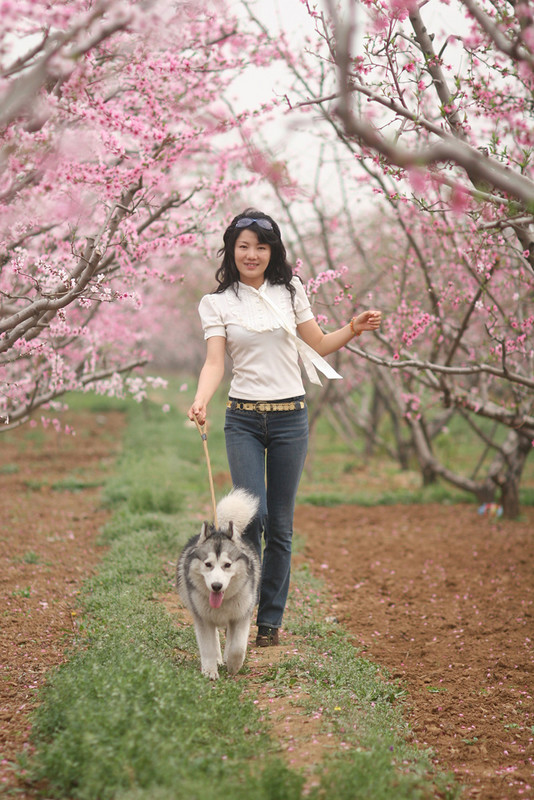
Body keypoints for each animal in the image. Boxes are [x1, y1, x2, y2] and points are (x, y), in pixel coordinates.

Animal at [178, 488, 262, 680]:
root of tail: (218, 529)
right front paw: (210, 670)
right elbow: (207, 646)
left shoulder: (241, 615)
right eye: (208, 564)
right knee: (215, 636)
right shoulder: (202, 618)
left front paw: (233, 664)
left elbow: (237, 647)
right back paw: (217, 658)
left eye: (227, 565)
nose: (216, 586)